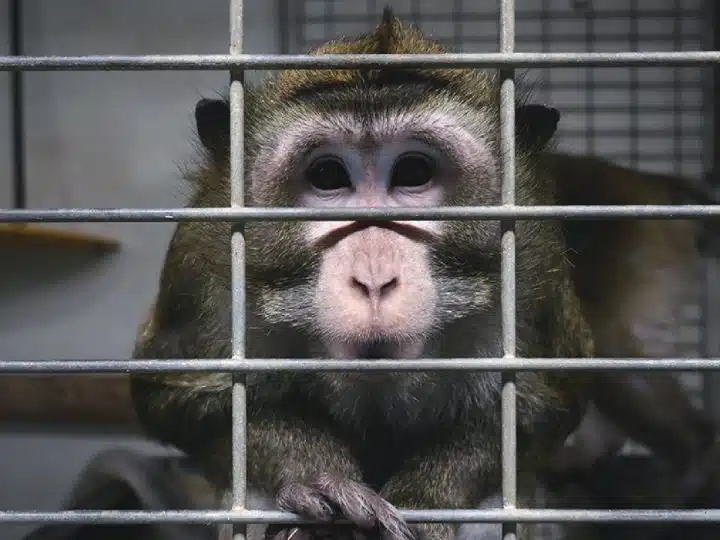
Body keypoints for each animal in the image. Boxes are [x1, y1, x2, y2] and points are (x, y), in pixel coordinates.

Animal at [129, 8, 597, 540]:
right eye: (328, 176)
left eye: (413, 173)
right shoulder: (202, 269)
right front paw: (319, 480)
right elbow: (178, 398)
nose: (374, 281)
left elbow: (541, 408)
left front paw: (426, 500)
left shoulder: (536, 268)